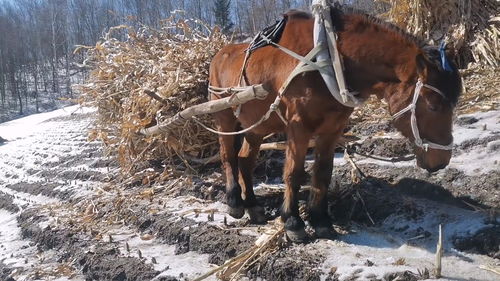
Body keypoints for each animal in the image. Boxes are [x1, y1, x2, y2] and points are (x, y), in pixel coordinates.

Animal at [207, 7, 460, 238]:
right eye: (433, 105)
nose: (441, 161)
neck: (328, 58)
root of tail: (219, 54)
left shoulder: (332, 128)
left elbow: (323, 173)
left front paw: (320, 220)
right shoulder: (298, 126)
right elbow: (293, 172)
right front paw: (293, 222)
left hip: (257, 125)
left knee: (245, 160)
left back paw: (252, 205)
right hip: (224, 116)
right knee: (228, 156)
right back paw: (234, 202)